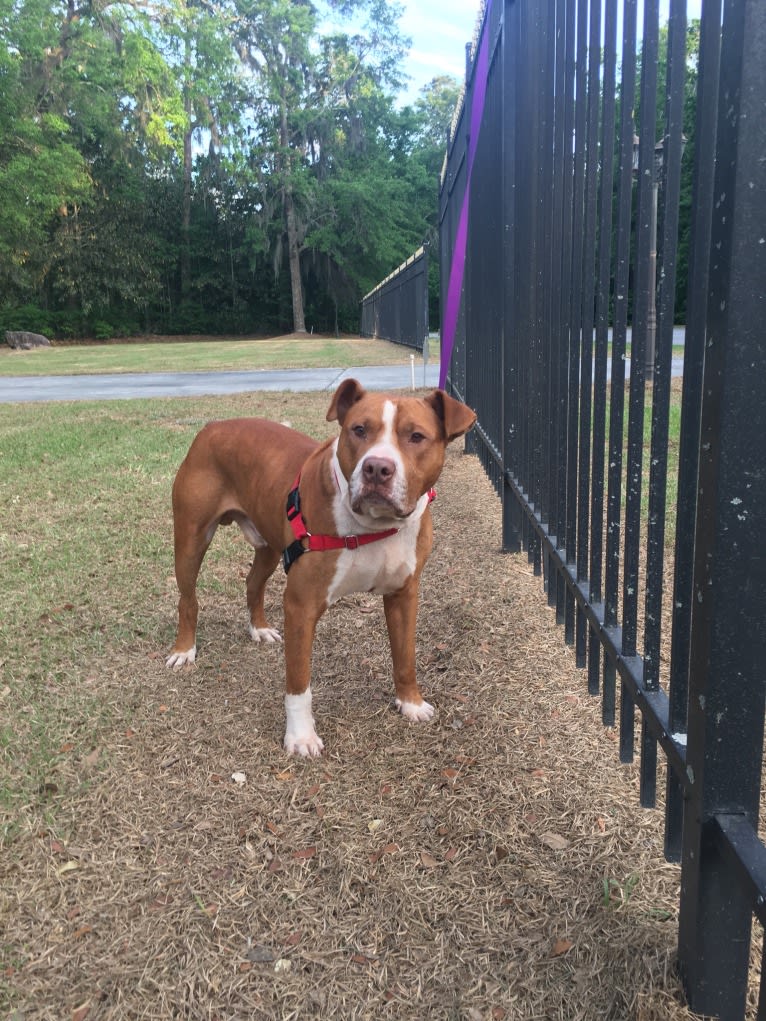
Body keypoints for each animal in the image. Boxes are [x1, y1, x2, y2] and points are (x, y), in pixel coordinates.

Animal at [167, 379, 477, 755]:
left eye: (416, 436)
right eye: (359, 430)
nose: (377, 468)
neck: (373, 527)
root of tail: (214, 426)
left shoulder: (404, 594)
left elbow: (405, 655)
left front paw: (411, 703)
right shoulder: (302, 604)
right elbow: (299, 681)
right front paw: (301, 736)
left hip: (272, 546)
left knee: (253, 583)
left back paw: (259, 629)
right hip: (191, 539)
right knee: (188, 599)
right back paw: (184, 649)